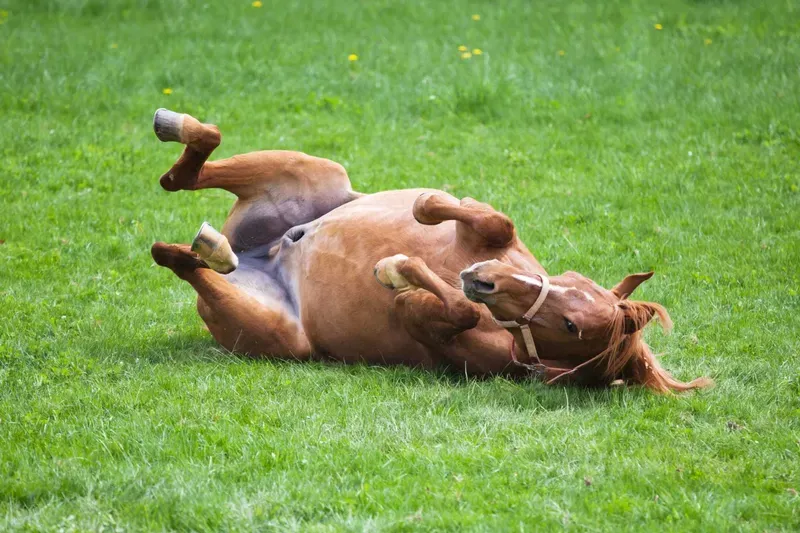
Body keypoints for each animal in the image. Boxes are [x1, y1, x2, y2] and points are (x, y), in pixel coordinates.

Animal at [149, 108, 711, 393]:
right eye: (573, 282)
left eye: (574, 328)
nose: (485, 278)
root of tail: (259, 256)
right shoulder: (492, 237)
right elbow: (485, 217)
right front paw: (426, 210)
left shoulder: (429, 320)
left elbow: (452, 308)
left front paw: (397, 268)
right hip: (315, 169)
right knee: (184, 174)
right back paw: (177, 128)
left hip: (277, 334)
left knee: (177, 257)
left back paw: (211, 249)